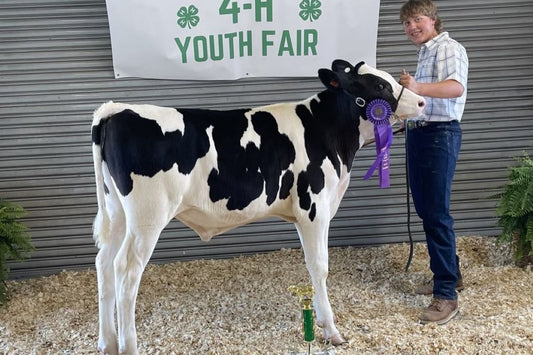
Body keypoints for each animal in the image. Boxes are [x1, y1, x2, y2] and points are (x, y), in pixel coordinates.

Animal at [92, 59, 424, 354]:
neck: (324, 131)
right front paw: (331, 329)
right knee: (126, 270)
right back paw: (128, 346)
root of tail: (116, 110)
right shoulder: (314, 207)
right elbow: (319, 266)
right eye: (380, 85)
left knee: (104, 263)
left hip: (118, 212)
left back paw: (107, 343)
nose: (421, 102)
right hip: (147, 216)